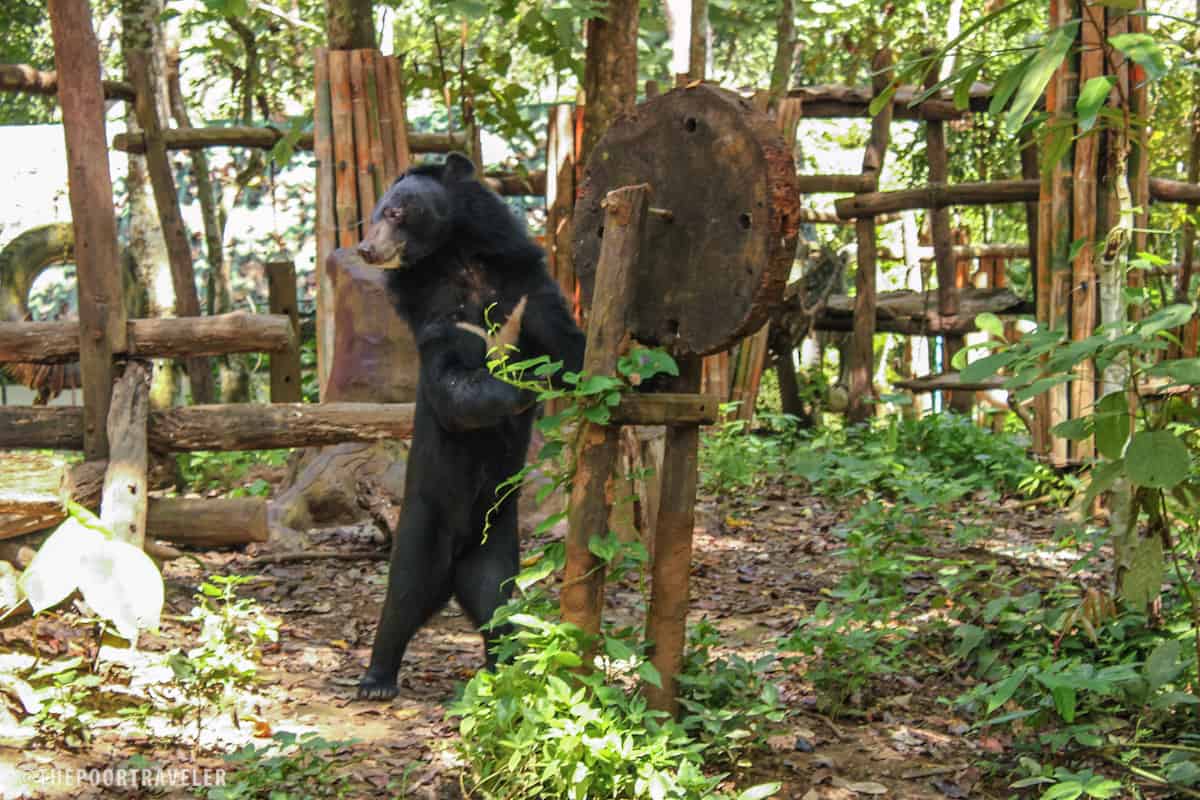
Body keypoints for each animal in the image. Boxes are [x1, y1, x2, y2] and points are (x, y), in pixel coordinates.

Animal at [350, 151, 585, 700]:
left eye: (395, 211)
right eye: (375, 212)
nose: (367, 249)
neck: (456, 257)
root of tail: (455, 565)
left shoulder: (525, 288)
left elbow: (568, 347)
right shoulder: (437, 317)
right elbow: (454, 387)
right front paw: (522, 389)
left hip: (495, 549)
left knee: (499, 609)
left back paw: (506, 667)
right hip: (421, 529)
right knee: (401, 602)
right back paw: (376, 680)